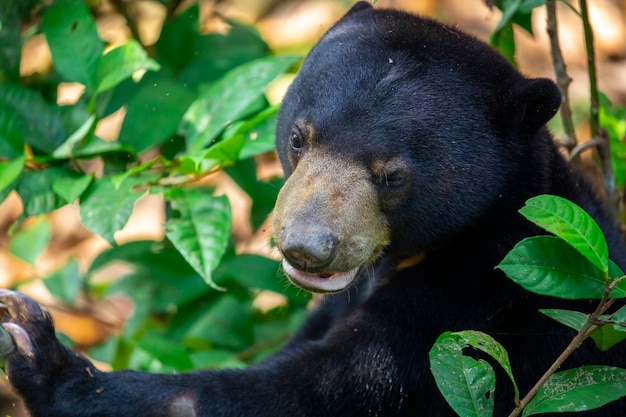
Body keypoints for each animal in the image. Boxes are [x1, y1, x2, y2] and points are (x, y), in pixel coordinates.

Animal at [1, 1, 624, 414]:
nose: (306, 246)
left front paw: (41, 353)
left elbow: (309, 394)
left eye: (392, 175)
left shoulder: (473, 320)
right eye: (299, 137)